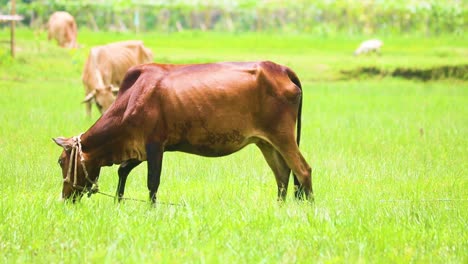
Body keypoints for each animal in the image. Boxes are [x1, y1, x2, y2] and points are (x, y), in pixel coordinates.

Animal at [53, 60, 312, 203]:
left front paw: (151, 210)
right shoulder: (140, 149)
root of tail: (281, 69)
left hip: (282, 136)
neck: (130, 99)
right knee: (282, 176)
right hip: (265, 142)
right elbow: (123, 171)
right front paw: (118, 202)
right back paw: (279, 208)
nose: (64, 198)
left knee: (302, 170)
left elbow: (152, 182)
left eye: (60, 161)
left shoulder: (154, 145)